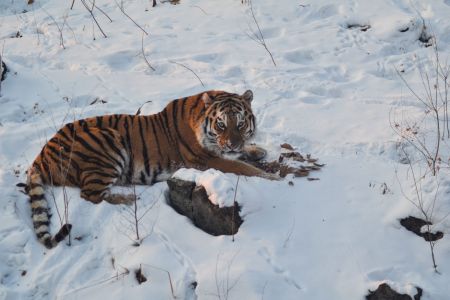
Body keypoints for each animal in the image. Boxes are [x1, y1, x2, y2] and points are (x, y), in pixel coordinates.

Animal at [21, 89, 278, 248]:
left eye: (240, 123)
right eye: (221, 124)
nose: (233, 144)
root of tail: (41, 156)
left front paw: (256, 150)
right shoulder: (206, 160)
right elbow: (242, 167)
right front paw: (272, 178)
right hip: (107, 141)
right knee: (91, 195)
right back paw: (130, 199)